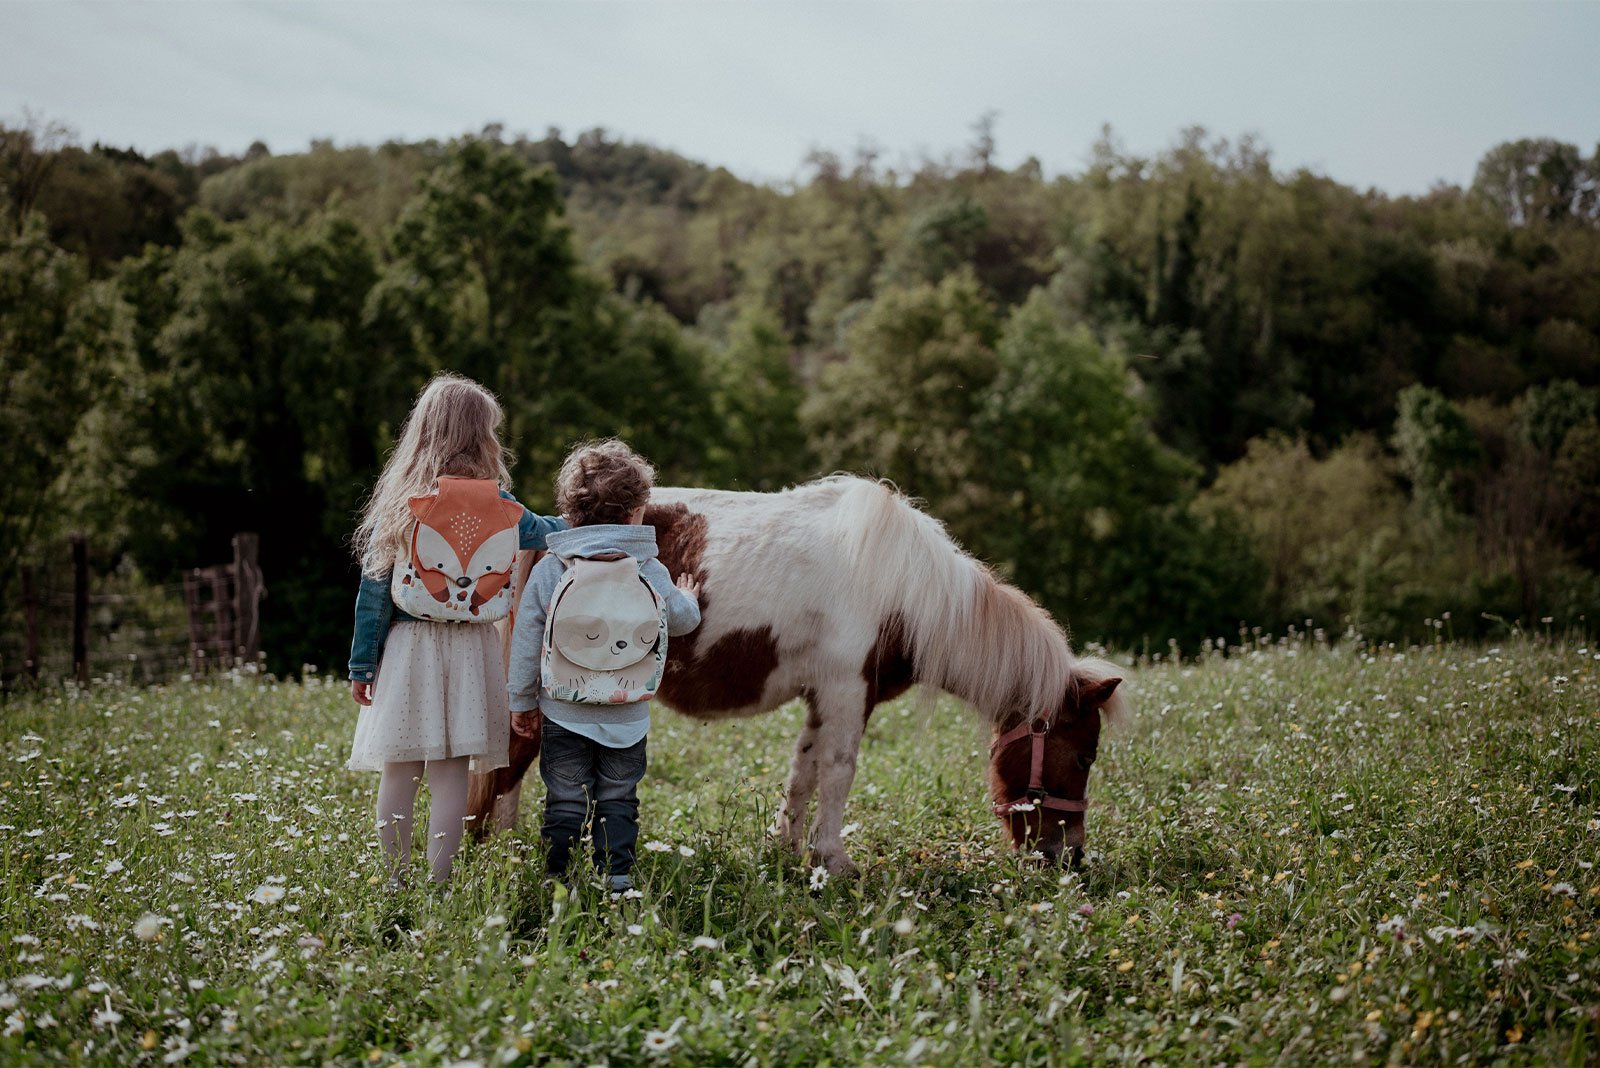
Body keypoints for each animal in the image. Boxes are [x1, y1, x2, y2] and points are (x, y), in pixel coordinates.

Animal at [467, 476, 1132, 869]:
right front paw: (833, 861)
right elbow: (837, 774)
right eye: (1084, 755)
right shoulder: (846, 692)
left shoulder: (825, 698)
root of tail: (548, 528)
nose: (1068, 858)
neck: (906, 590)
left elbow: (804, 772)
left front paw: (786, 848)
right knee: (514, 761)